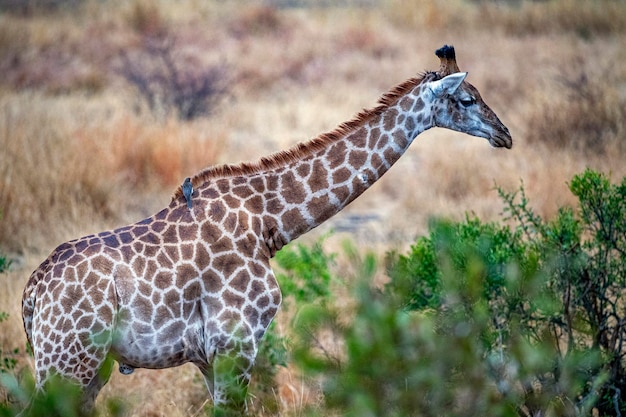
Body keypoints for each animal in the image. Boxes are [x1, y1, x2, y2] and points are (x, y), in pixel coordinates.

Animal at [20, 44, 512, 412]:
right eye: (467, 99)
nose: (504, 135)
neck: (269, 222)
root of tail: (31, 294)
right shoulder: (235, 344)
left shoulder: (211, 357)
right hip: (68, 361)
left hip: (88, 367)